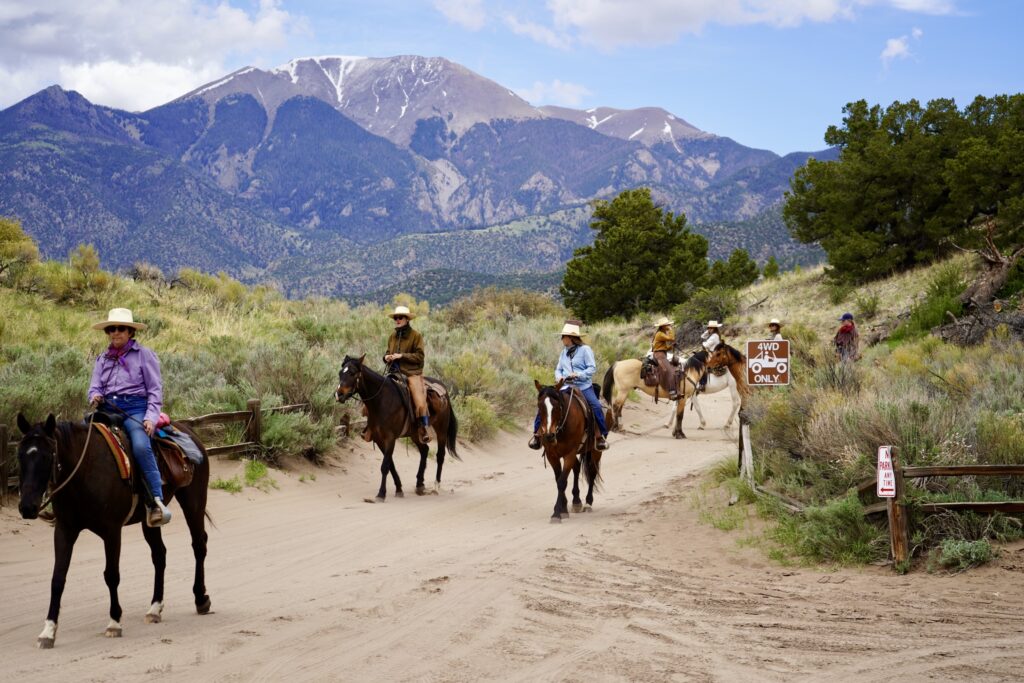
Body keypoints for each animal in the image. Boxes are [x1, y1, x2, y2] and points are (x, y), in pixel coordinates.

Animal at [15, 413, 211, 651]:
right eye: (20, 456)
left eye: (47, 456)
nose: (27, 507)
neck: (85, 471)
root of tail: (191, 434)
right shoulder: (64, 531)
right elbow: (57, 579)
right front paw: (48, 631)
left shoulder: (111, 531)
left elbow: (111, 575)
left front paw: (114, 623)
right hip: (149, 522)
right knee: (159, 555)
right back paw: (155, 609)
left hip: (194, 502)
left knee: (198, 545)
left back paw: (201, 598)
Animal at [335, 358, 460, 501]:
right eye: (340, 372)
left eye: (352, 373)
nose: (338, 394)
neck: (381, 401)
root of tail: (443, 388)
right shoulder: (379, 439)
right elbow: (390, 464)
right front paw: (399, 488)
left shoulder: (390, 438)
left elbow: (385, 466)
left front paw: (381, 493)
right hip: (415, 434)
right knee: (424, 450)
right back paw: (419, 484)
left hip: (441, 430)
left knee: (440, 455)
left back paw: (436, 486)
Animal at [536, 378, 598, 524]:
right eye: (539, 406)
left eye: (557, 407)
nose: (549, 435)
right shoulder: (552, 456)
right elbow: (558, 479)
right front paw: (563, 509)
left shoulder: (569, 454)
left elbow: (562, 482)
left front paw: (556, 513)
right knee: (577, 468)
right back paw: (576, 501)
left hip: (595, 451)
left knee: (592, 472)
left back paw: (588, 503)